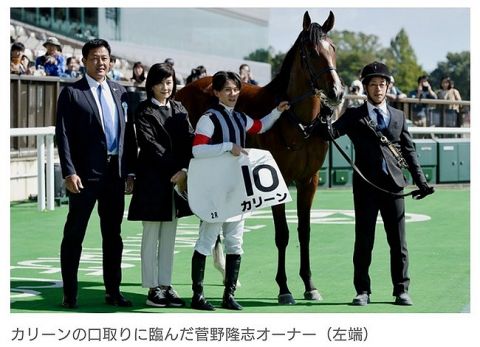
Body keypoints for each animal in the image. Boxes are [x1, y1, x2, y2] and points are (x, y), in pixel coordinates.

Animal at [176, 10, 344, 304]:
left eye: (333, 48)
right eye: (312, 51)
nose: (336, 92)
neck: (296, 121)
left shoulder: (309, 181)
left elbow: (304, 232)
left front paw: (309, 285)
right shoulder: (279, 182)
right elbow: (282, 234)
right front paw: (284, 288)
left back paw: (223, 271)